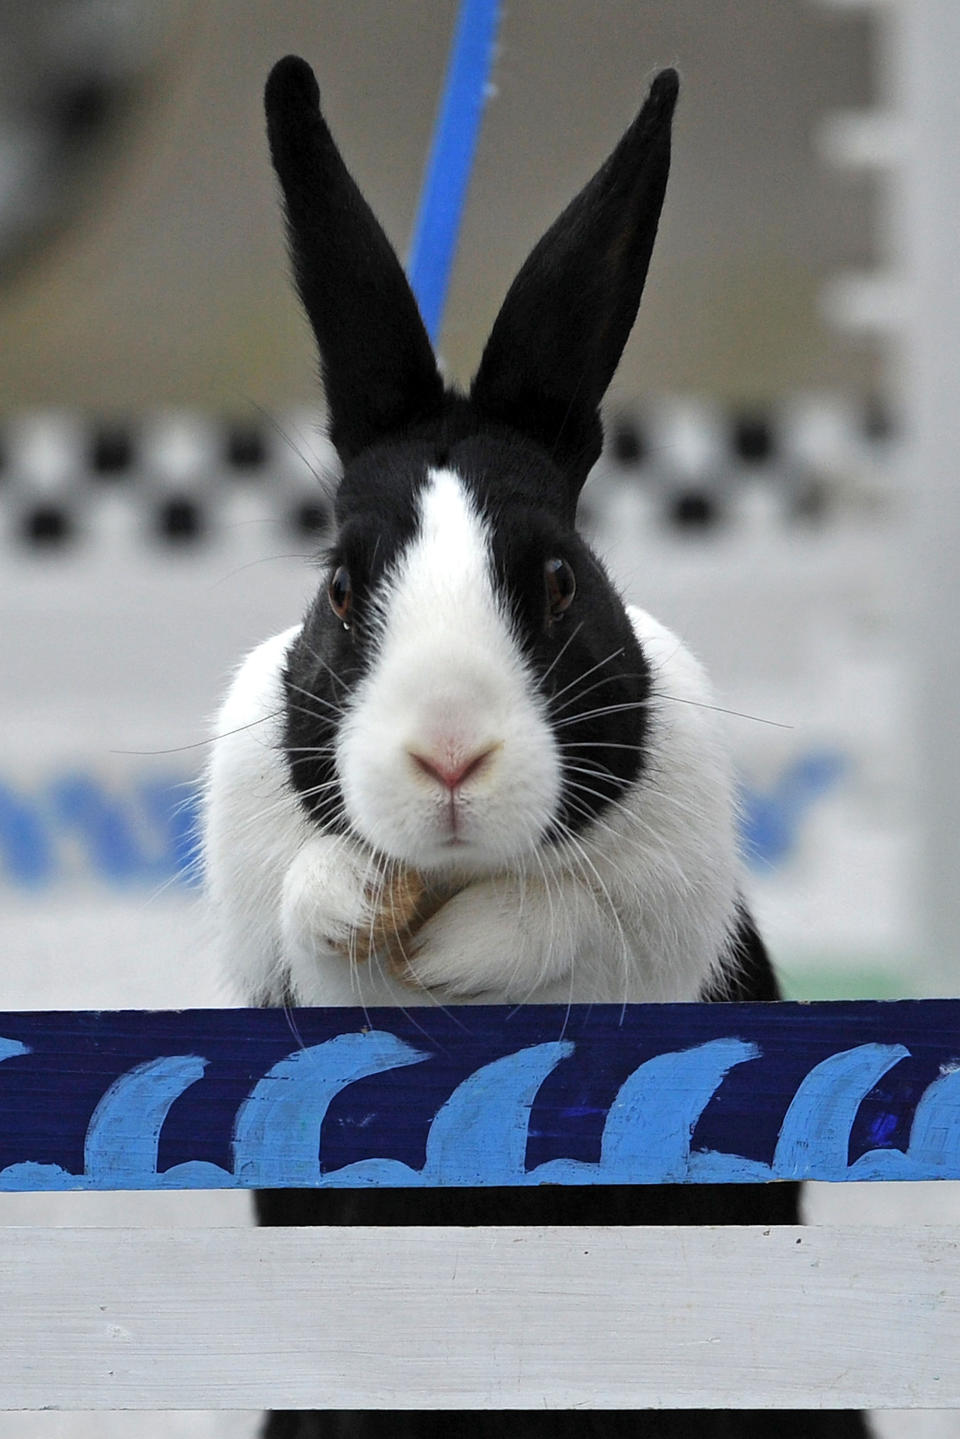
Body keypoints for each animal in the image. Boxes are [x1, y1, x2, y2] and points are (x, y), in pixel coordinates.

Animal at [201, 56, 869, 1439]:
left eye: (559, 580)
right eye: (339, 587)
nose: (450, 755)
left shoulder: (655, 907)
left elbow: (563, 917)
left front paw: (458, 951)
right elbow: (304, 900)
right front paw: (361, 904)